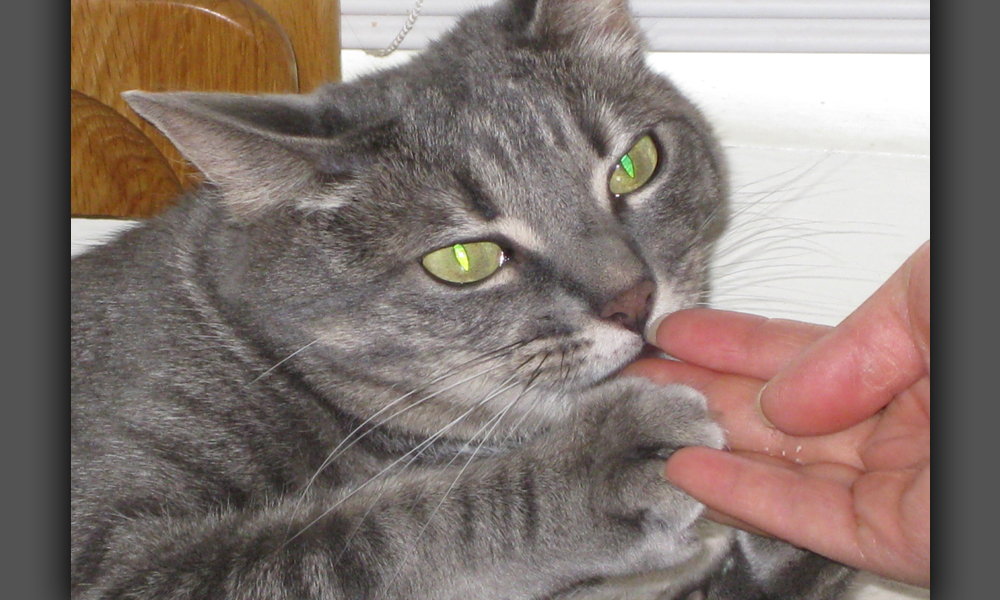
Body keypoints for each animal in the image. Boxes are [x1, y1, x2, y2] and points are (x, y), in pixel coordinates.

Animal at [72, 1, 852, 600]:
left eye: (635, 165)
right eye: (464, 260)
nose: (633, 299)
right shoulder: (116, 560)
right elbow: (372, 535)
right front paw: (603, 461)